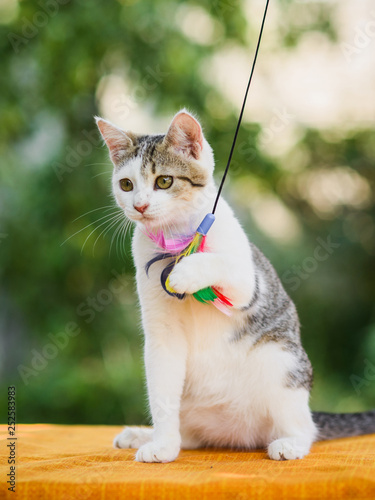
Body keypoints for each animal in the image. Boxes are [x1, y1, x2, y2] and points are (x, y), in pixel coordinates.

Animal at [96, 111, 375, 462]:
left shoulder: (249, 282)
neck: (176, 237)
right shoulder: (161, 334)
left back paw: (291, 443)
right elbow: (161, 393)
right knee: (190, 431)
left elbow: (222, 265)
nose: (140, 206)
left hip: (281, 361)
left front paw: (185, 273)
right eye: (126, 184)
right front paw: (162, 444)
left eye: (164, 181)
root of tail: (234, 434)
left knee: (305, 427)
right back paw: (146, 435)